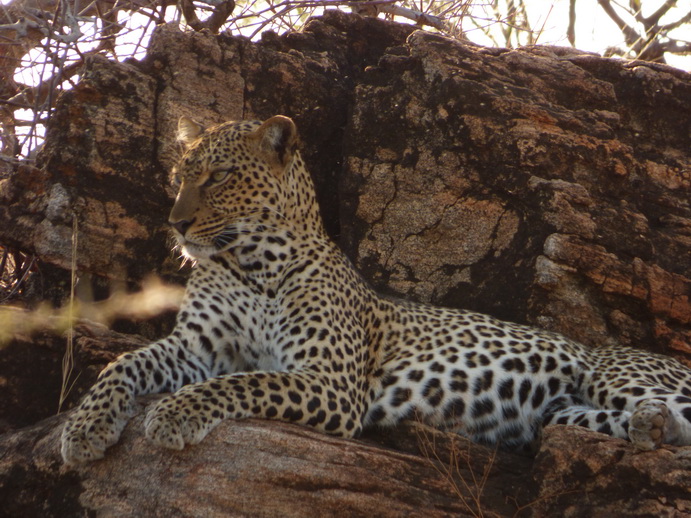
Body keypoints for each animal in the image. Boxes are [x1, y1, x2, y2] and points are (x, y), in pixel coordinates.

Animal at [58, 115, 691, 468]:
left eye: (219, 177)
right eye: (179, 177)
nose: (176, 223)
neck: (250, 264)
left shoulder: (330, 381)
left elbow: (242, 381)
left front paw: (174, 414)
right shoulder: (195, 346)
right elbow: (122, 362)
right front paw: (84, 430)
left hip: (618, 376)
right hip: (566, 411)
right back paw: (651, 428)